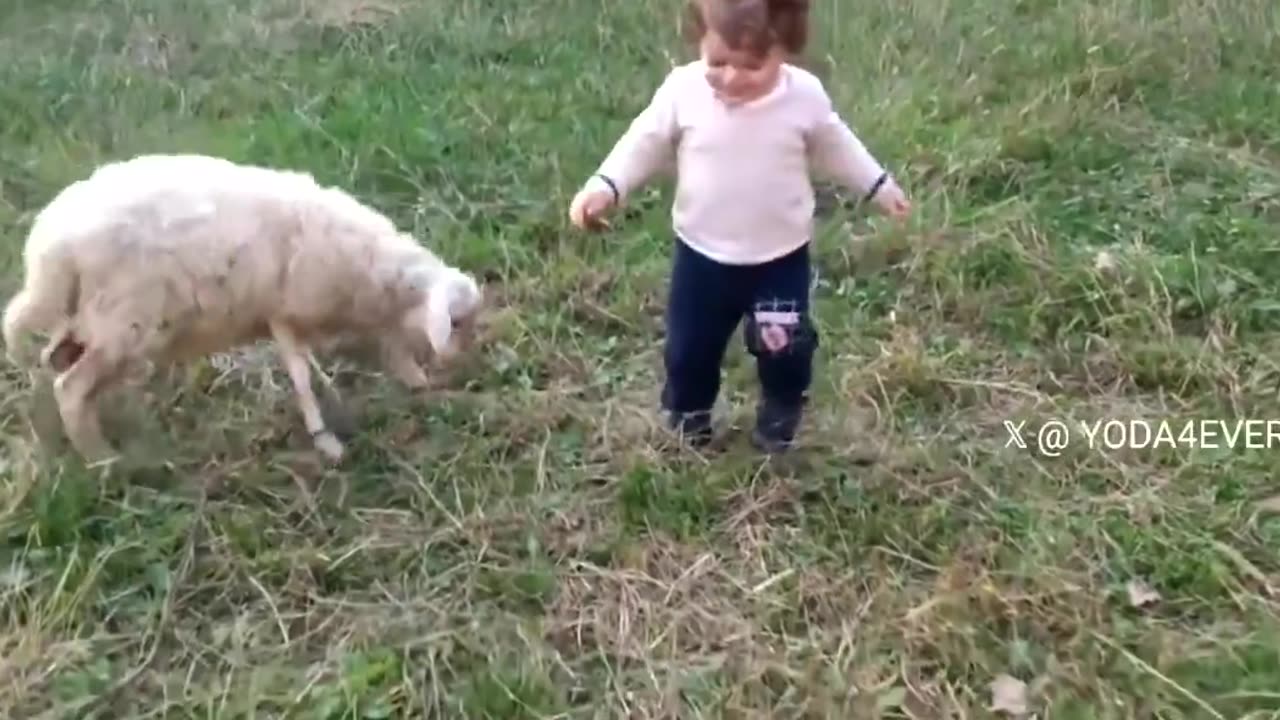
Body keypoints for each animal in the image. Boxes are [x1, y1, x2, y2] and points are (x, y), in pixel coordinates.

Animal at [2, 153, 481, 461]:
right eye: (458, 322)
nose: (460, 364)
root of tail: (48, 250)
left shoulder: (286, 316)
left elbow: (324, 363)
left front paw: (412, 382)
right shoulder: (289, 310)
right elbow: (304, 377)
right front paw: (328, 441)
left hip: (91, 319)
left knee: (55, 360)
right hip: (125, 322)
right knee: (71, 387)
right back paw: (103, 460)